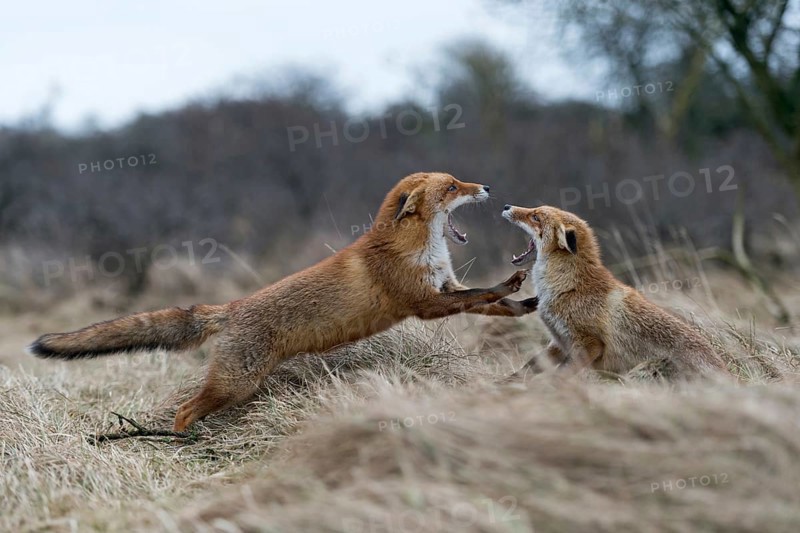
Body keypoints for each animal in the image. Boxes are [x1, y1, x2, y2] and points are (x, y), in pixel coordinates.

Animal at [28, 172, 536, 431]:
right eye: (451, 187)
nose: (487, 188)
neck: (418, 251)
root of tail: (229, 308)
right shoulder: (424, 304)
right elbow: (483, 292)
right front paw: (513, 284)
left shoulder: (445, 289)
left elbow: (487, 303)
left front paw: (526, 305)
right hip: (235, 384)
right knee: (184, 410)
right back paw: (180, 442)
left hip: (238, 384)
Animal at [501, 204, 728, 379]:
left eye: (535, 217)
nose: (506, 206)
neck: (568, 287)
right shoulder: (558, 341)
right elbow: (527, 368)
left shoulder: (589, 344)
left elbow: (560, 376)